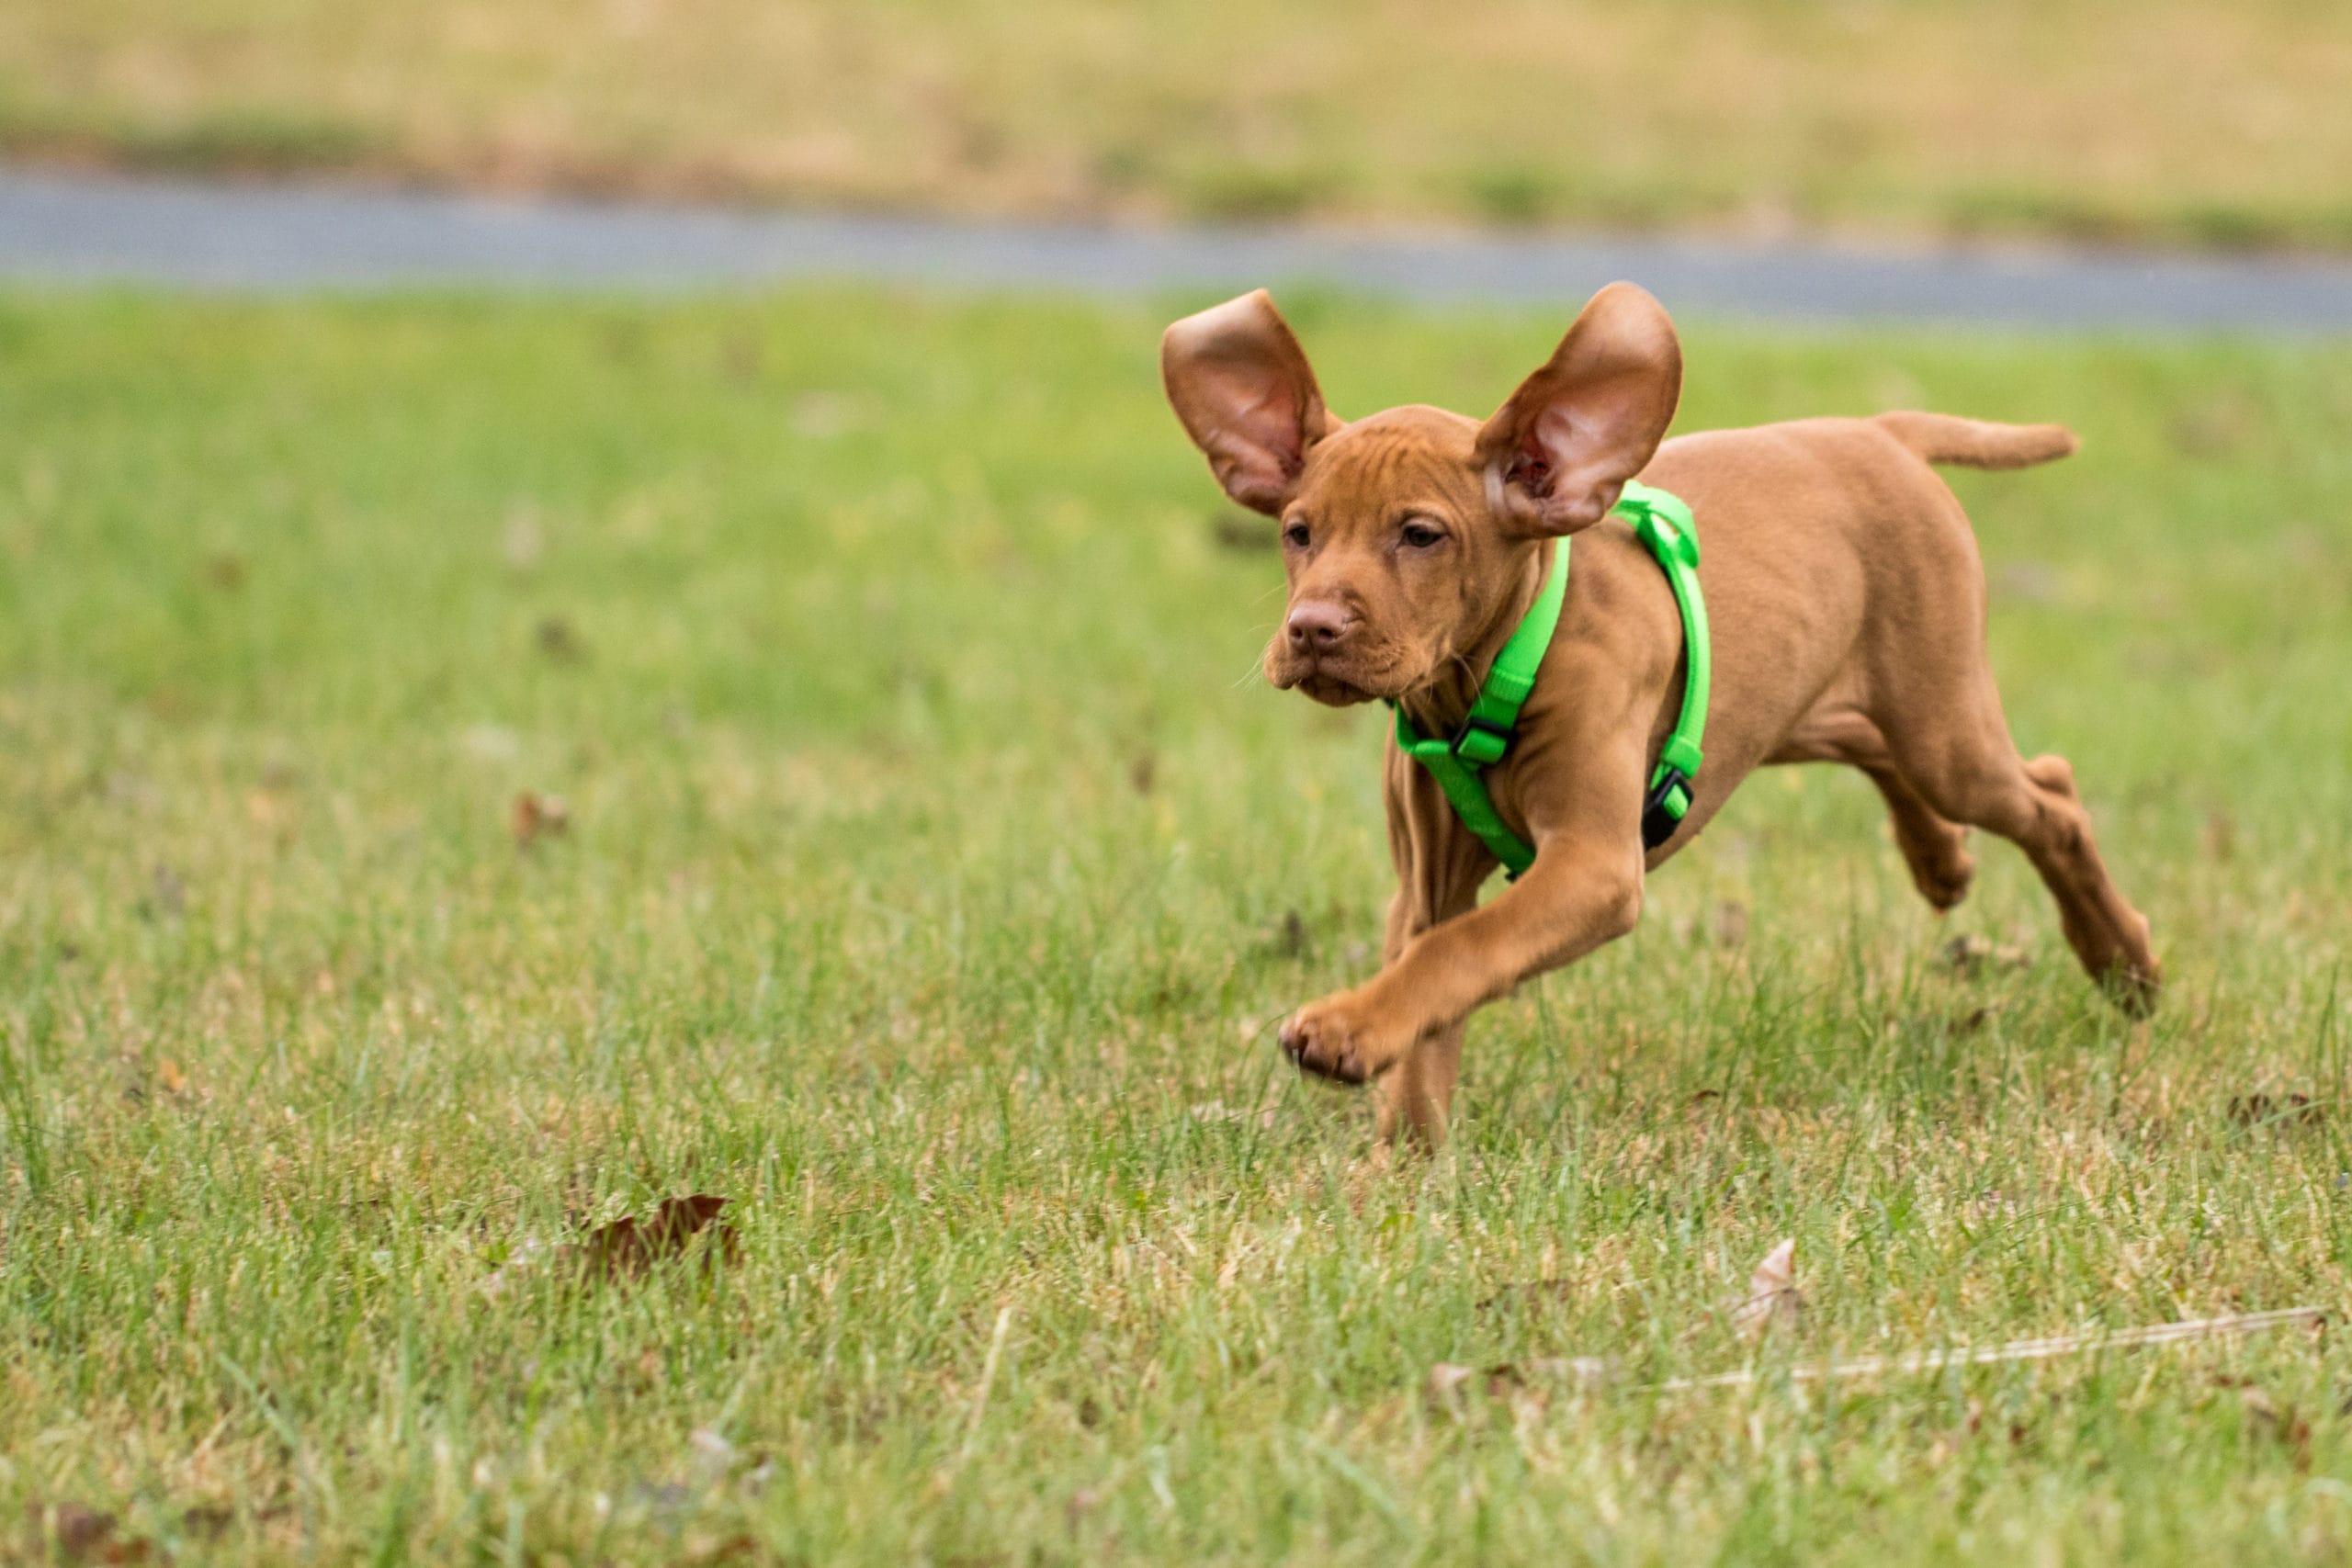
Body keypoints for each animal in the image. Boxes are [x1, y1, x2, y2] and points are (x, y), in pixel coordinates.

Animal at [1166, 282, 2154, 1146]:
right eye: (1298, 532)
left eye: (1420, 535)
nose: (1311, 629)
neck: (1485, 680)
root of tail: (1882, 430)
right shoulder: (1426, 886)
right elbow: (1434, 985)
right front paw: (1401, 1164)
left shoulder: (1595, 865)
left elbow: (1463, 951)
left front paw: (1345, 1033)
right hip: (1823, 702)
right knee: (1878, 747)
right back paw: (1942, 860)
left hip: (1943, 726)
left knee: (2050, 796)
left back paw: (2124, 961)